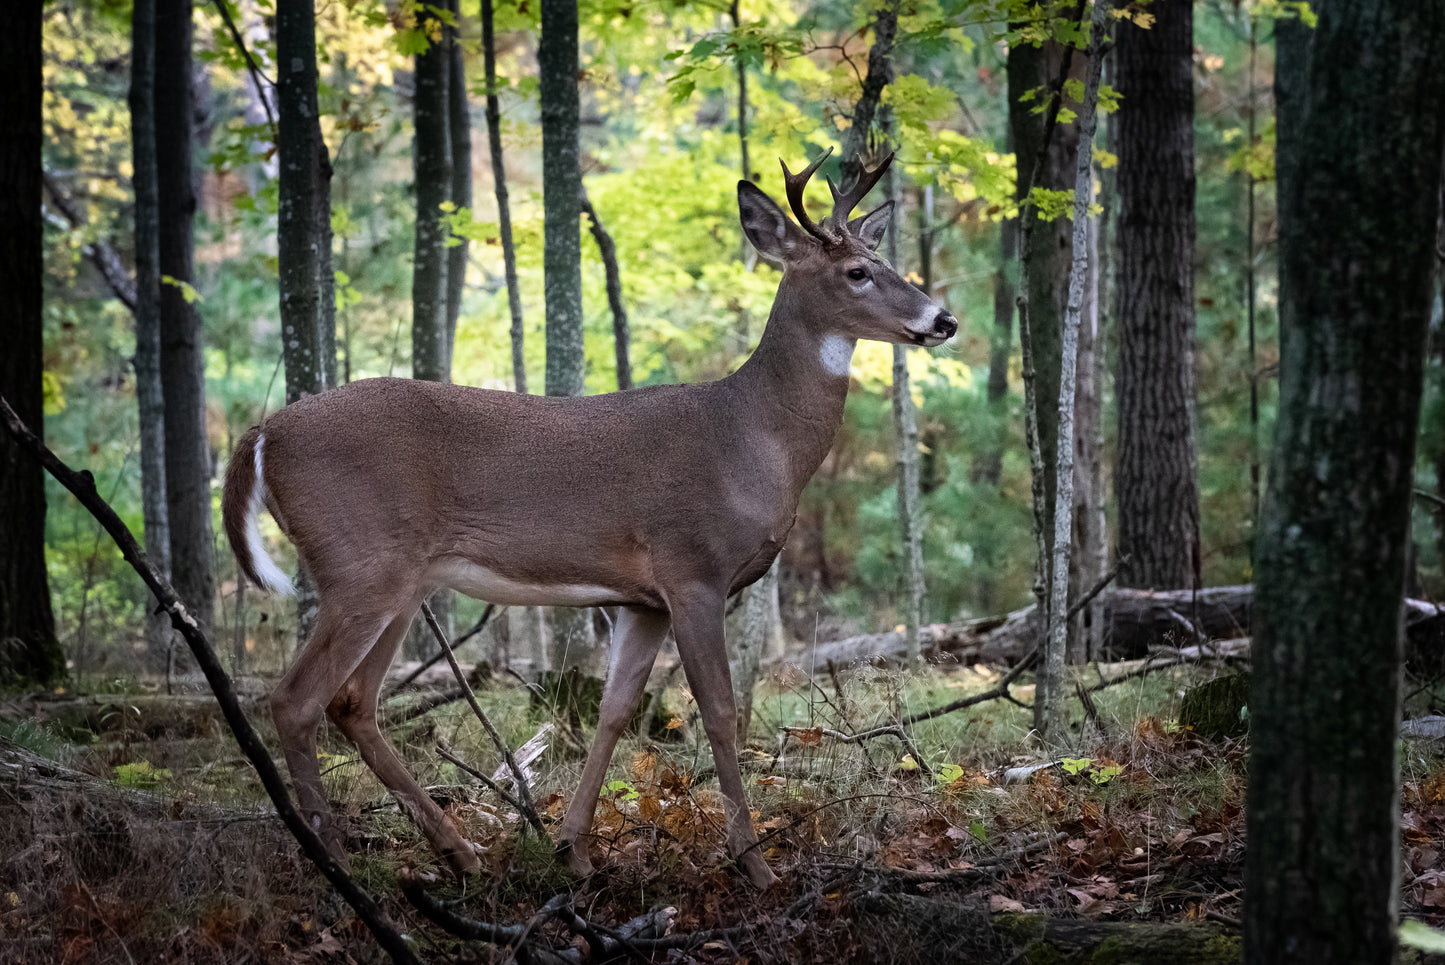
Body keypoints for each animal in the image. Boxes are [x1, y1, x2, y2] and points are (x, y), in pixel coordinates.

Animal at [219, 150, 953, 889]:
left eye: (884, 257)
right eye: (856, 271)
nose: (942, 319)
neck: (753, 437)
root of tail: (261, 433)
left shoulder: (642, 599)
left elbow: (614, 709)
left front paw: (571, 847)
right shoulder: (692, 567)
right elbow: (720, 712)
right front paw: (753, 863)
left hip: (400, 580)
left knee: (352, 702)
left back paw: (461, 851)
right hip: (360, 563)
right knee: (294, 699)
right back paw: (336, 861)